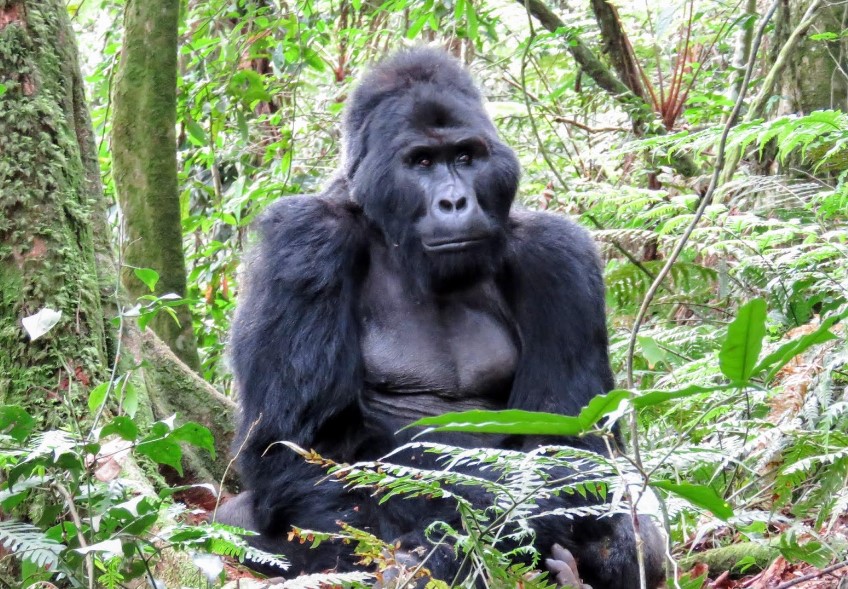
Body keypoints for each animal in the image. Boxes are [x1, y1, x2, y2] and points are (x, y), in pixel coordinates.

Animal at [217, 47, 664, 588]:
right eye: (422, 162)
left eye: (466, 157)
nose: (454, 201)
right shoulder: (304, 241)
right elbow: (300, 448)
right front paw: (448, 547)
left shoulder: (558, 254)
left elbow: (569, 446)